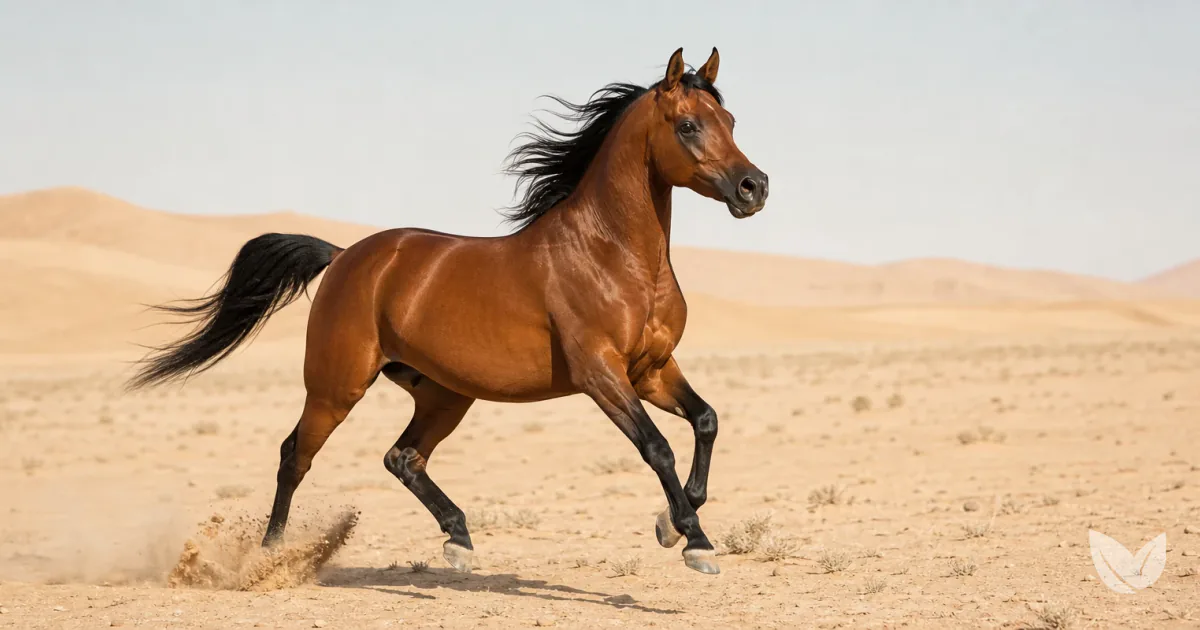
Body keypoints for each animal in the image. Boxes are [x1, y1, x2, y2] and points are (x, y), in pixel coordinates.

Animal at [127, 47, 768, 575]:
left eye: (731, 122)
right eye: (688, 125)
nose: (754, 188)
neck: (612, 255)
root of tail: (345, 256)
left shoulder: (652, 369)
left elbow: (706, 420)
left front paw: (674, 524)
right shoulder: (601, 374)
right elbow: (657, 446)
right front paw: (696, 542)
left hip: (443, 394)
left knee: (402, 457)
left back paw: (457, 540)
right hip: (336, 386)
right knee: (295, 456)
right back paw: (270, 556)